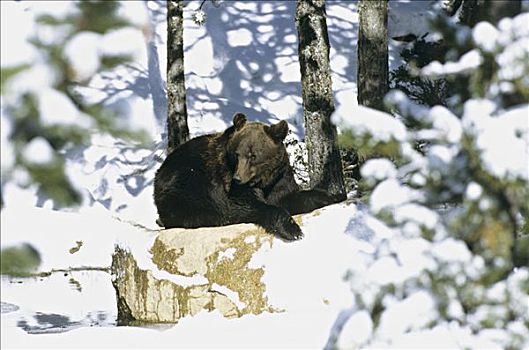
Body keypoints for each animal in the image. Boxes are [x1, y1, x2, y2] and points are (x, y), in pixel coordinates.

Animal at [154, 112, 342, 241]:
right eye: (237, 154)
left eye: (253, 155)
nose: (238, 178)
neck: (263, 180)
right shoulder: (229, 185)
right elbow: (249, 205)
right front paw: (293, 230)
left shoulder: (280, 180)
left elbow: (293, 196)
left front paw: (334, 196)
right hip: (186, 181)